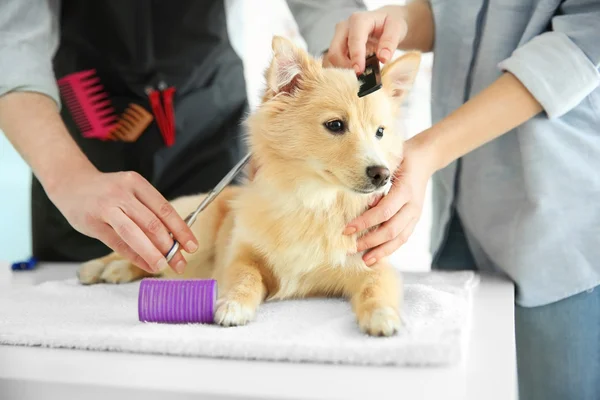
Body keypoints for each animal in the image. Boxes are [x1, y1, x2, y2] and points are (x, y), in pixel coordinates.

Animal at [76, 35, 422, 338]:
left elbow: (376, 288)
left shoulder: (372, 263)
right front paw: (233, 306)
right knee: (141, 254)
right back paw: (101, 268)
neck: (316, 203)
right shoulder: (241, 254)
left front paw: (382, 316)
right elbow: (244, 277)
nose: (382, 175)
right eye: (335, 125)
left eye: (380, 132)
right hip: (193, 230)